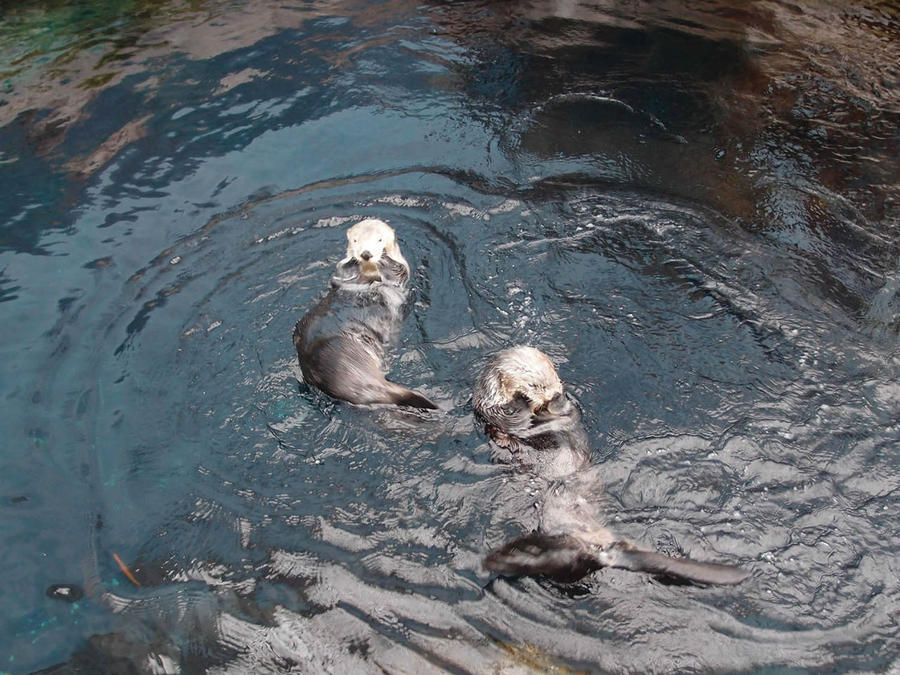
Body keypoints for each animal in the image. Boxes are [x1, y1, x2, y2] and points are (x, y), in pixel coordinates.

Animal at [294, 219, 438, 410]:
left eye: (379, 239)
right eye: (355, 240)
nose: (366, 254)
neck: (369, 276)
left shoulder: (403, 279)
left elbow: (398, 272)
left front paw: (384, 257)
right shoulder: (340, 279)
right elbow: (339, 274)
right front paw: (351, 262)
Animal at [474, 348, 748, 588]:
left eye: (554, 377)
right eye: (535, 385)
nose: (555, 394)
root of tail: (609, 553)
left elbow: (567, 413)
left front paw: (560, 401)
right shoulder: (497, 413)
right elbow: (516, 419)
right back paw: (509, 556)